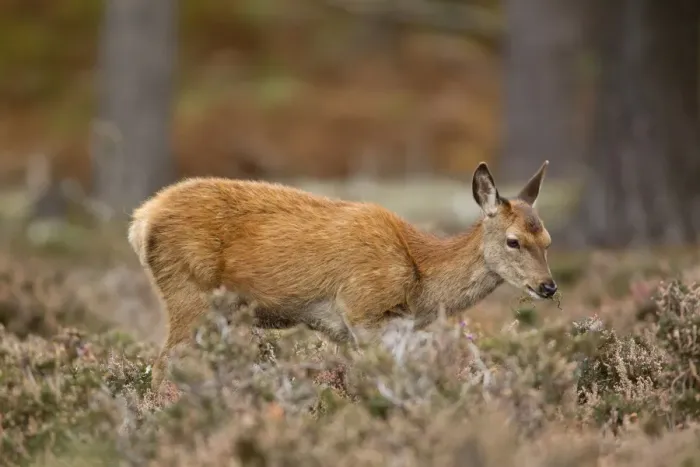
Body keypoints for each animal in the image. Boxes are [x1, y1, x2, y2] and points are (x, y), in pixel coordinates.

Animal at [128, 160, 557, 391]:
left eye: (548, 240)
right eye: (514, 241)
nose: (548, 286)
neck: (418, 282)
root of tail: (142, 220)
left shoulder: (358, 331)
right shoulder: (361, 308)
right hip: (188, 291)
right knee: (162, 364)